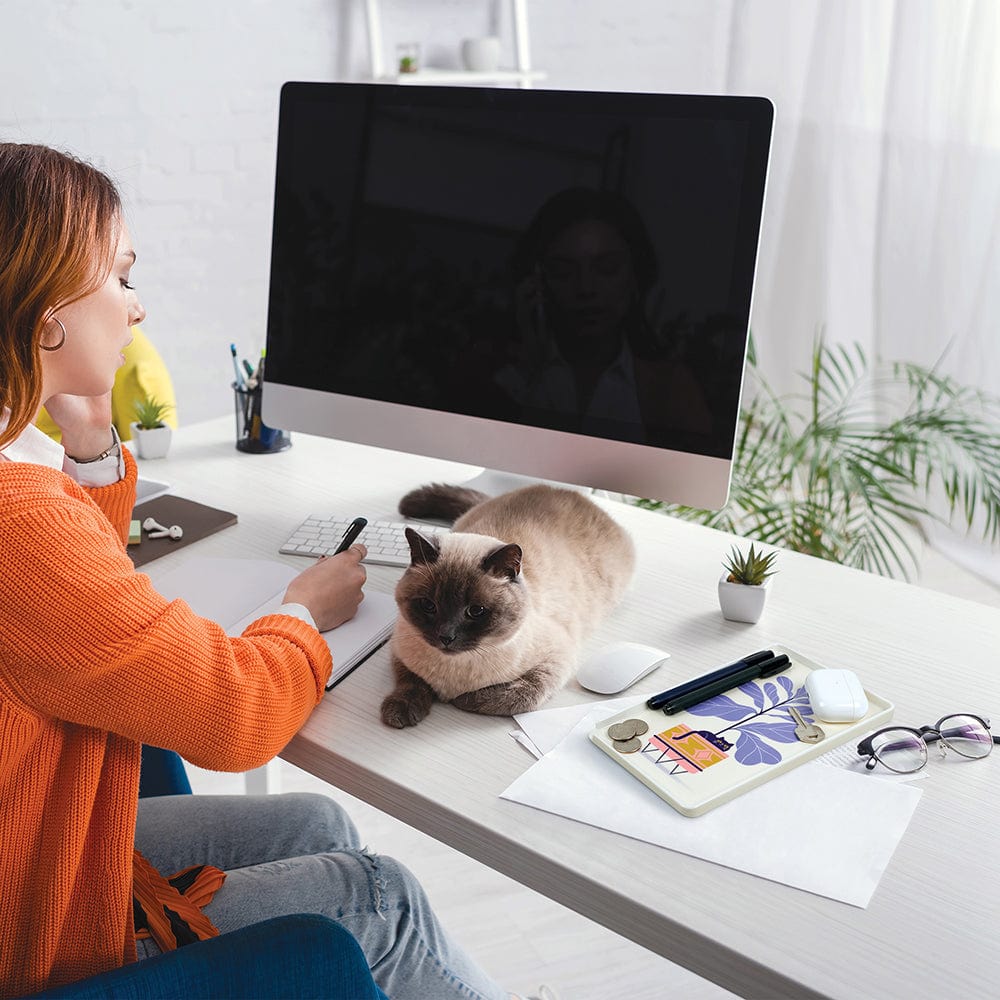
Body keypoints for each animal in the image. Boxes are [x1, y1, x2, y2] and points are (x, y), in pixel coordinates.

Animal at [378, 484, 636, 728]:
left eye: (476, 611)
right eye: (428, 606)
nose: (446, 637)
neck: (453, 670)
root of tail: (566, 491)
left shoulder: (555, 661)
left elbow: (511, 697)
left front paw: (459, 700)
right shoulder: (399, 651)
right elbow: (411, 682)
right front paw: (400, 711)